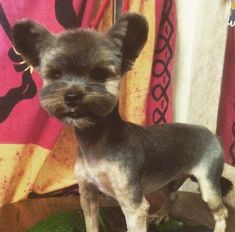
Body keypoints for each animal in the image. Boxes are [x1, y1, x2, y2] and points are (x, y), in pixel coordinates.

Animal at [13, 13, 233, 231]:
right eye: (56, 74)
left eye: (100, 74)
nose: (72, 96)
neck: (96, 143)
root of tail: (214, 135)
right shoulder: (88, 194)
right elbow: (91, 224)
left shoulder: (133, 204)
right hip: (165, 178)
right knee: (173, 195)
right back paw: (161, 214)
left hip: (208, 183)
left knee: (222, 212)